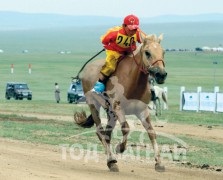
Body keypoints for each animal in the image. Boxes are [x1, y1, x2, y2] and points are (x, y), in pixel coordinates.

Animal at [74, 34, 167, 172]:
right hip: (94, 106)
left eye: (163, 52)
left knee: (107, 134)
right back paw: (111, 160)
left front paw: (159, 163)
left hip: (110, 112)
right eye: (147, 52)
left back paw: (111, 162)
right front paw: (119, 148)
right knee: (100, 132)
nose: (161, 74)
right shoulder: (118, 108)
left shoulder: (142, 110)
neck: (134, 82)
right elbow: (126, 128)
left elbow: (151, 132)